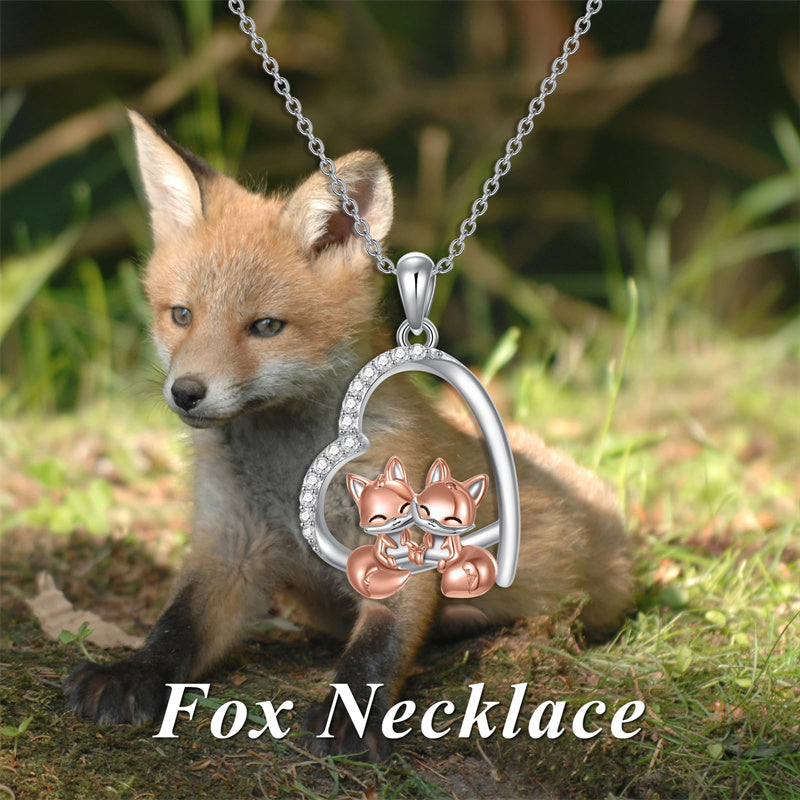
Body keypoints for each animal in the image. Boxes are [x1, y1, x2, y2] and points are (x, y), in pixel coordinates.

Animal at [63, 110, 634, 762]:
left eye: (265, 327)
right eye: (181, 315)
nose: (186, 392)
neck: (288, 471)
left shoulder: (406, 551)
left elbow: (376, 650)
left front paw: (350, 717)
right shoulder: (228, 549)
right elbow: (174, 628)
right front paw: (130, 673)